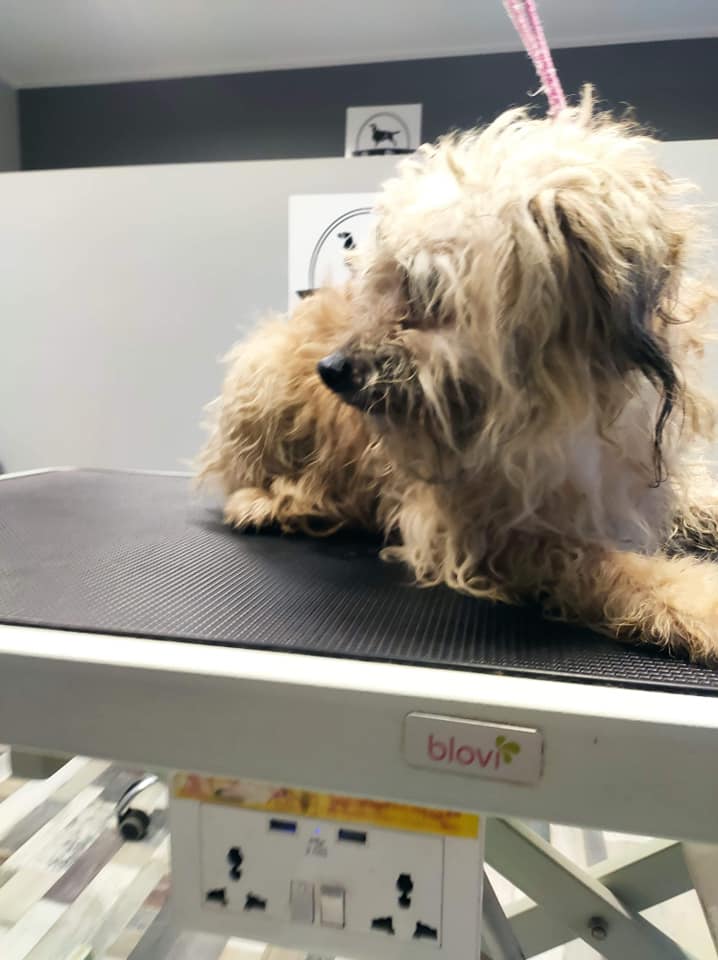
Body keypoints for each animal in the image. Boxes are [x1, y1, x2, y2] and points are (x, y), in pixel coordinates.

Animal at [199, 90, 718, 661]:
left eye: (426, 291)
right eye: (381, 283)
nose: (330, 370)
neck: (571, 397)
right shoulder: (488, 530)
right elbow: (603, 563)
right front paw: (701, 603)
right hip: (262, 373)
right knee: (246, 477)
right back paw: (277, 503)